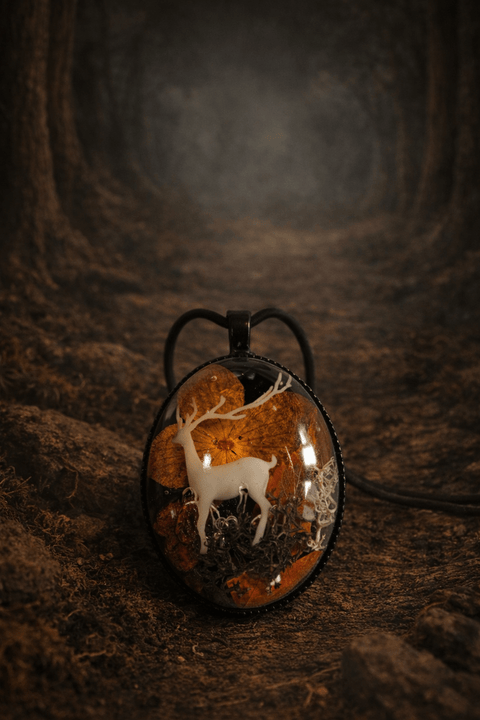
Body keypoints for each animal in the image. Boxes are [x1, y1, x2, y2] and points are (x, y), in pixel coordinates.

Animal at [172, 372, 292, 553]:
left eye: (182, 433)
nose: (173, 439)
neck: (198, 471)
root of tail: (268, 465)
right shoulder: (200, 497)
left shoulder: (207, 495)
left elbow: (200, 524)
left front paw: (203, 550)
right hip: (261, 486)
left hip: (255, 486)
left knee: (266, 506)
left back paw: (255, 542)